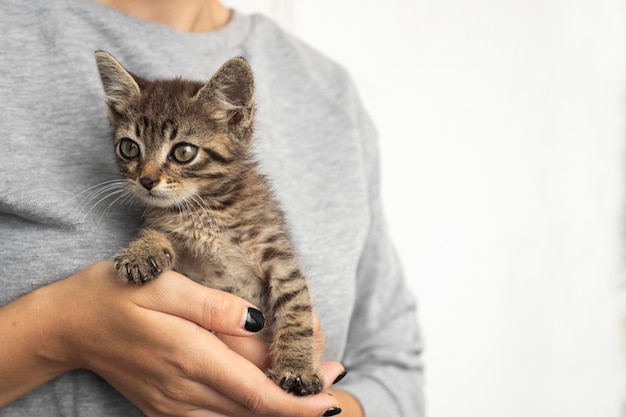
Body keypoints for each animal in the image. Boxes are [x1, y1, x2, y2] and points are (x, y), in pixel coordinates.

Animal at [95, 50, 324, 394]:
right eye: (129, 147)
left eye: (184, 152)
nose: (146, 180)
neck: (206, 209)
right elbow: (157, 234)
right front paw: (141, 252)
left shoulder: (279, 258)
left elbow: (296, 310)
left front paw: (297, 368)